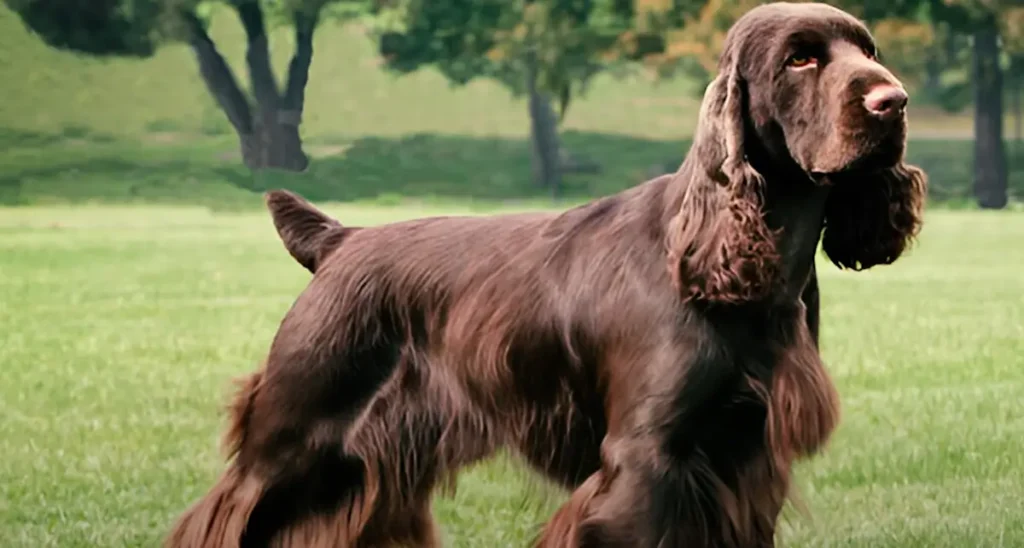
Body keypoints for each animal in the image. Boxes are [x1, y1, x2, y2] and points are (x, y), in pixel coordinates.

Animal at [165, 2, 929, 544]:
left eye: (868, 50)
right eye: (800, 57)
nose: (894, 100)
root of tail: (340, 241)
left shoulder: (746, 461)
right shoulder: (645, 459)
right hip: (293, 437)